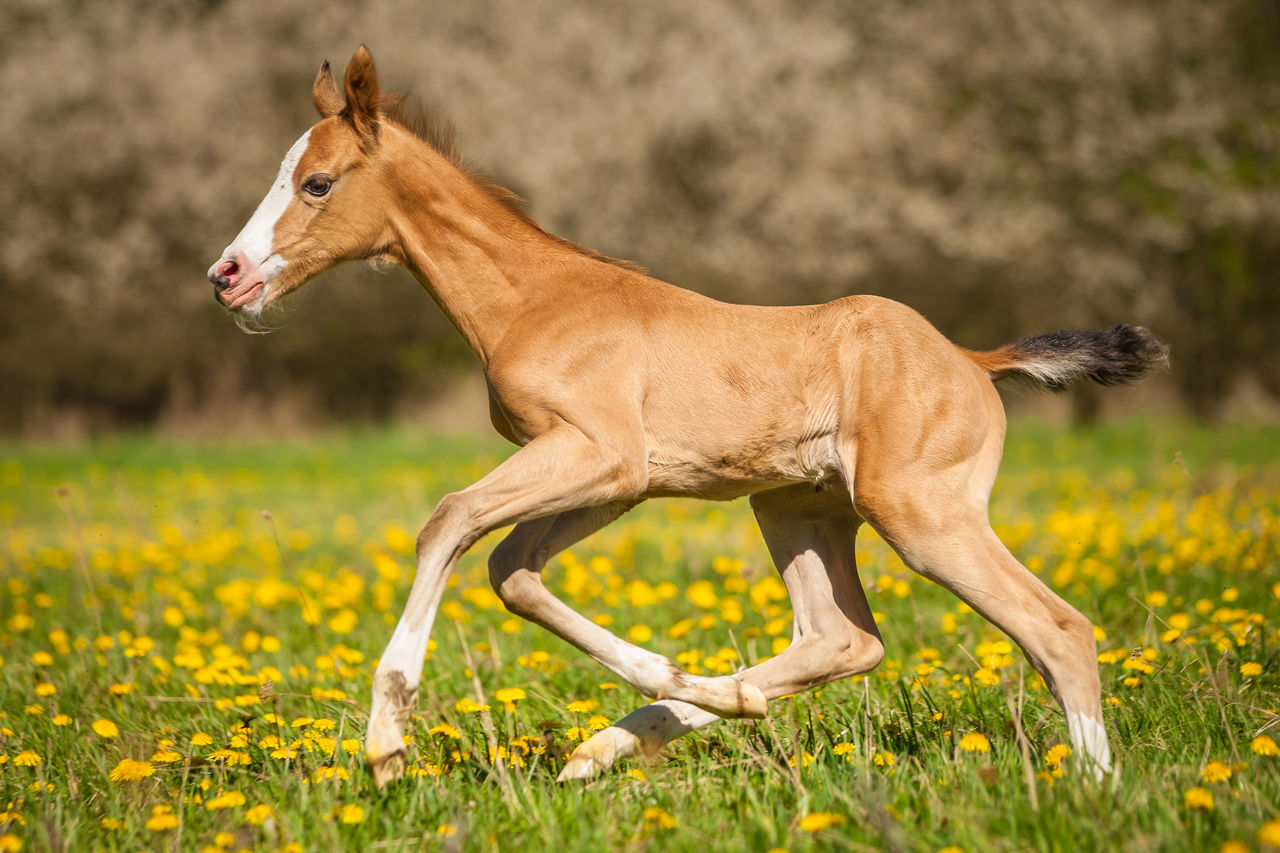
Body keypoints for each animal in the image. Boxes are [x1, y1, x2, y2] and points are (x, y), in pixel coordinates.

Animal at [209, 46, 1172, 788]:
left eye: (317, 182)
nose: (228, 275)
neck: (534, 299)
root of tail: (972, 360)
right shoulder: (618, 481)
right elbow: (514, 571)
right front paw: (666, 690)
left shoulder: (600, 455)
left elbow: (449, 522)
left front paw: (387, 744)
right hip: (796, 507)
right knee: (844, 639)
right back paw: (657, 723)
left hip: (922, 514)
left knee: (1057, 627)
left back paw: (1094, 789)